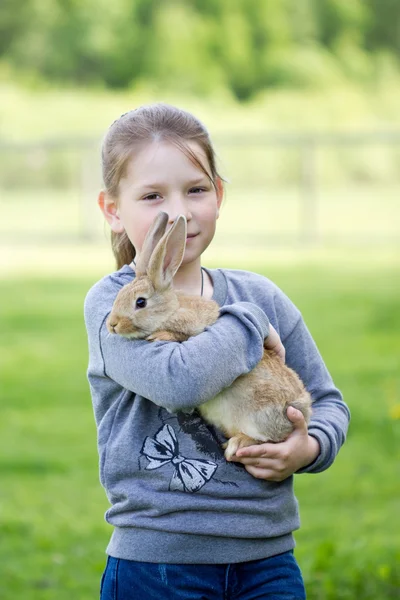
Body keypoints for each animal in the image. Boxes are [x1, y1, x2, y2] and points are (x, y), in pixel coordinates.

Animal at [107, 211, 312, 460]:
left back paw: (237, 445)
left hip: (260, 413)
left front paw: (162, 335)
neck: (172, 308)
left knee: (269, 438)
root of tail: (303, 411)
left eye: (140, 302)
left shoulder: (198, 324)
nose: (112, 325)